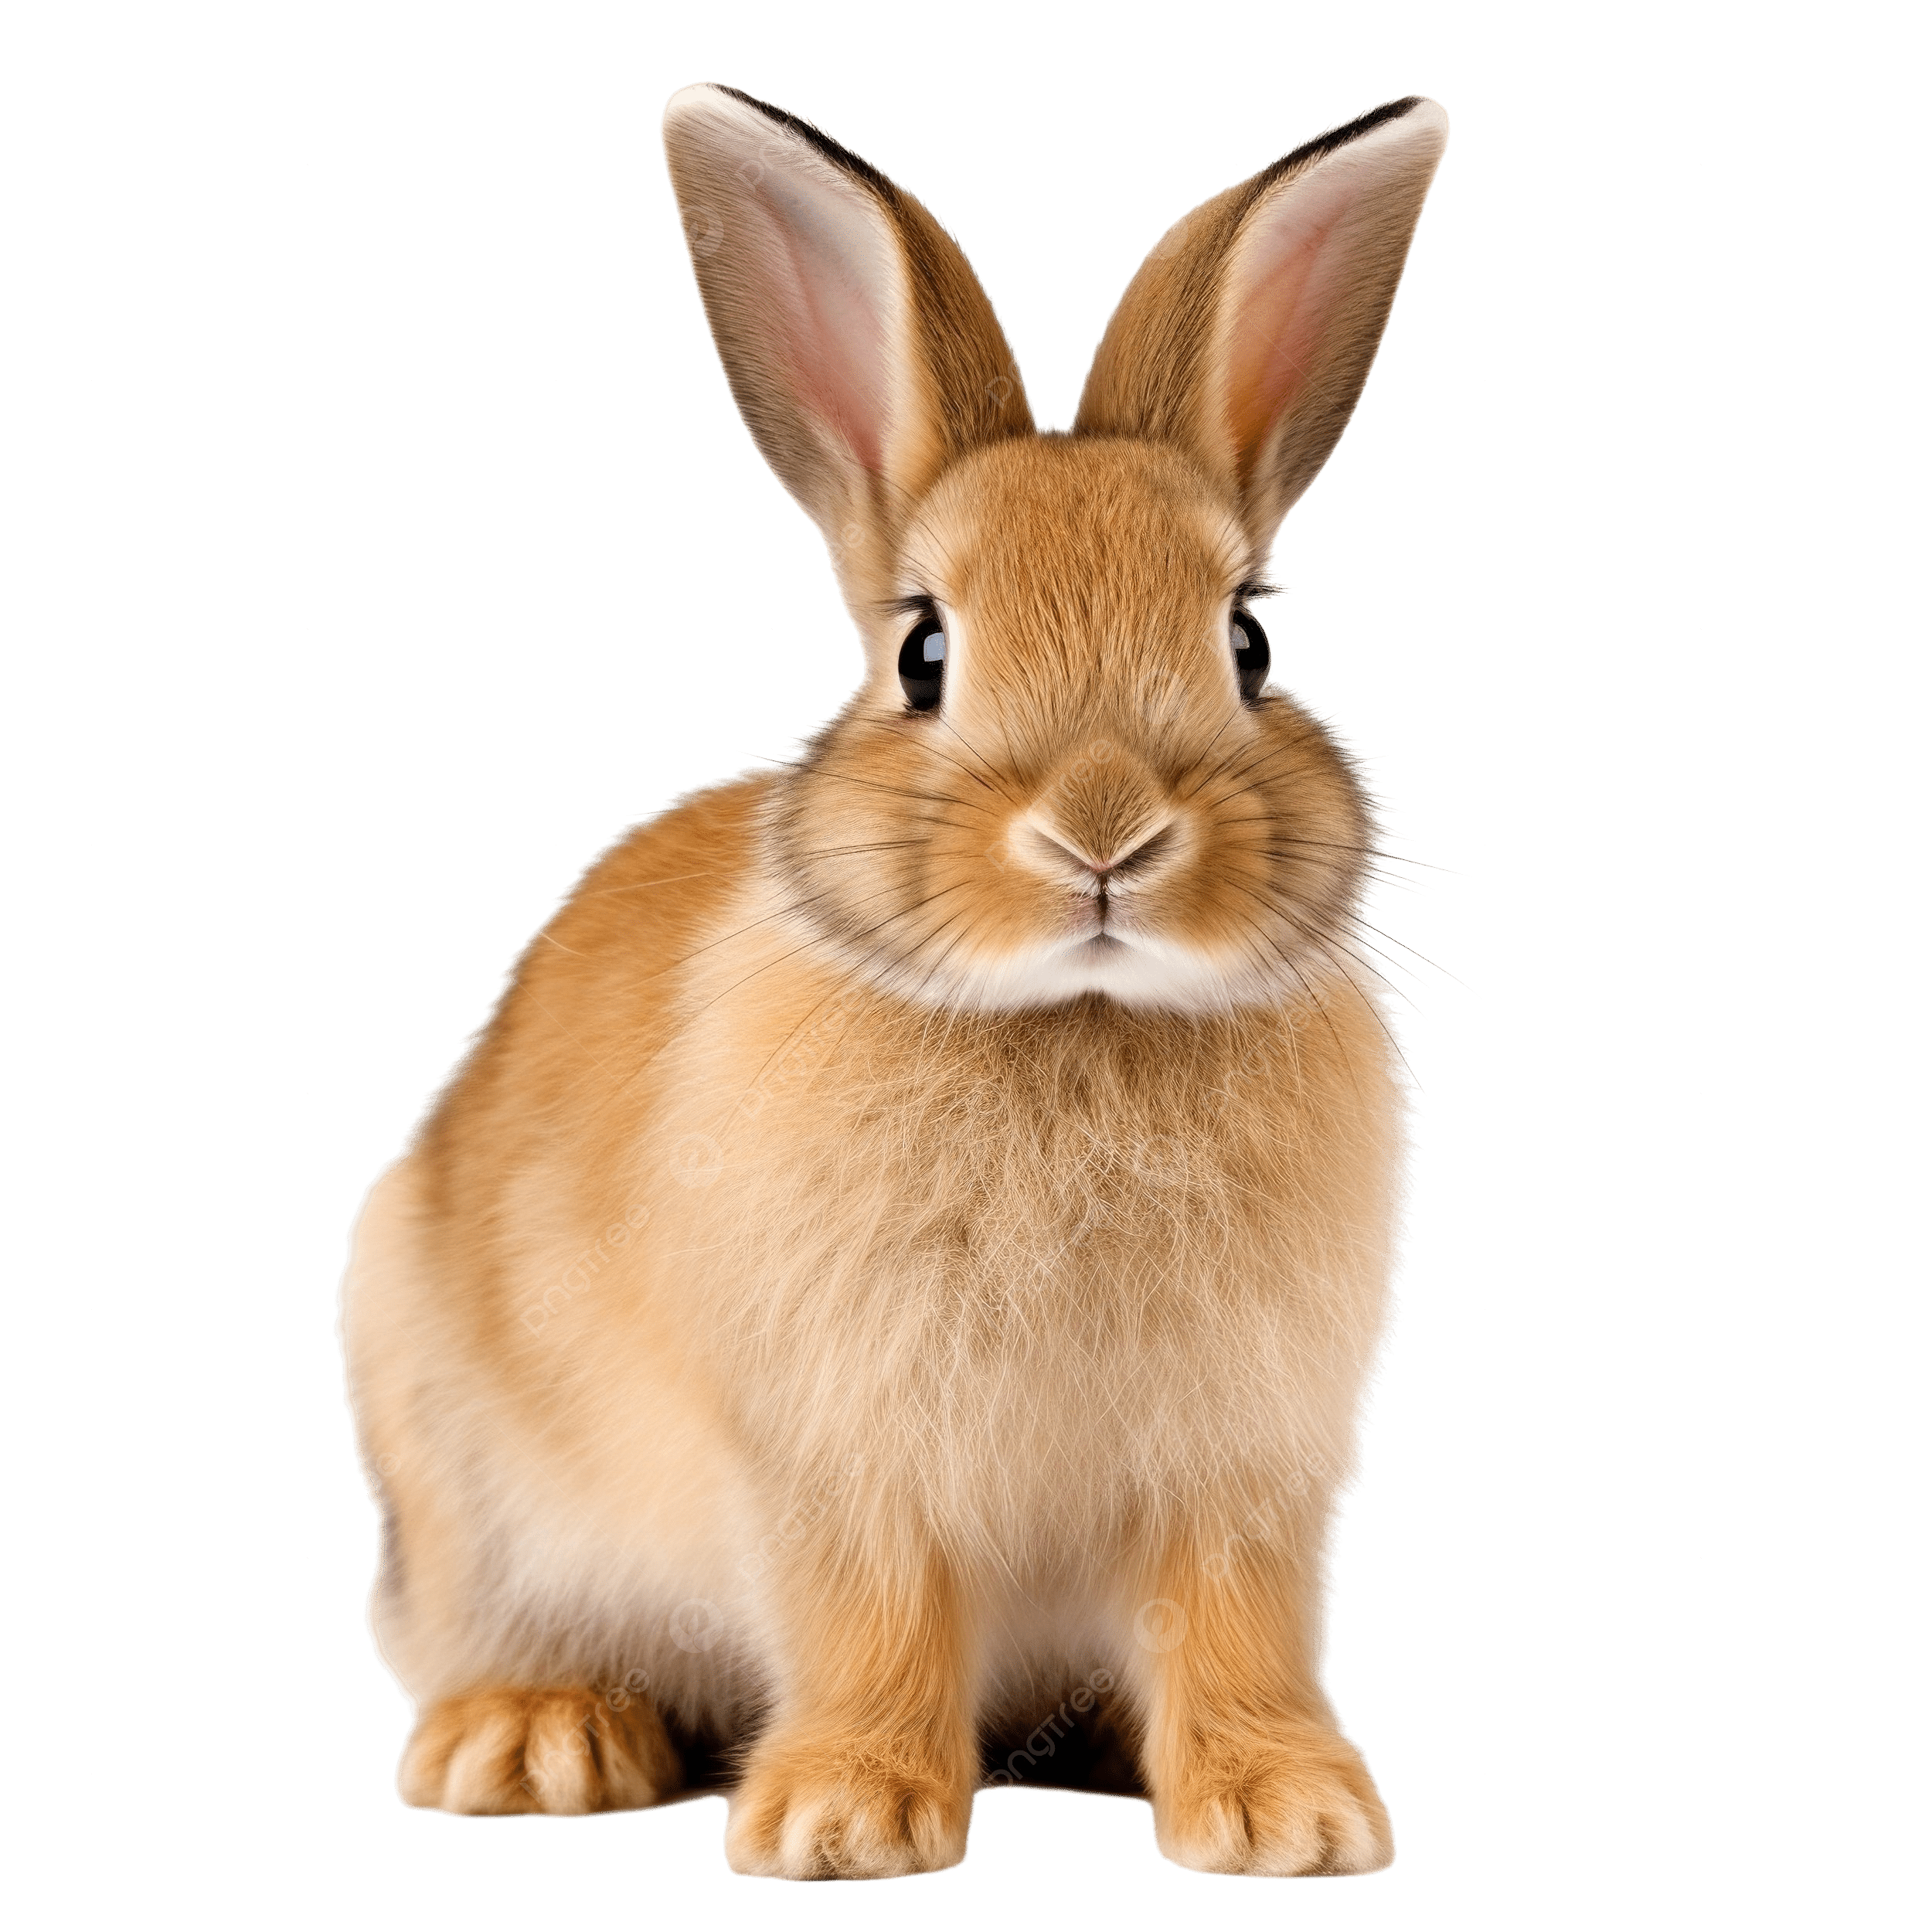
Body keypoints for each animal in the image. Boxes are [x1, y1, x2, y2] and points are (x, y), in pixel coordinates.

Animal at [334, 80, 1449, 1882]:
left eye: (1252, 641)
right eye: (923, 650)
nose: (1104, 831)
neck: (1075, 1017)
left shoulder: (1250, 1472)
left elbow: (1235, 1626)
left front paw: (1290, 1814)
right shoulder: (837, 1455)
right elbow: (869, 1608)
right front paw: (846, 1820)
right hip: (457, 1479)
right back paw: (538, 1744)